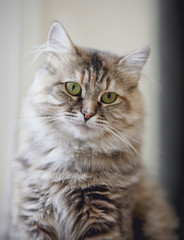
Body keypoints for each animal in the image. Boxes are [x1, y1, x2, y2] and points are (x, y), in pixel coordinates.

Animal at [9, 21, 178, 239]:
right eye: (72, 87)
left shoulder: (105, 220)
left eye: (108, 97)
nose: (87, 114)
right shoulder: (31, 217)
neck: (73, 164)